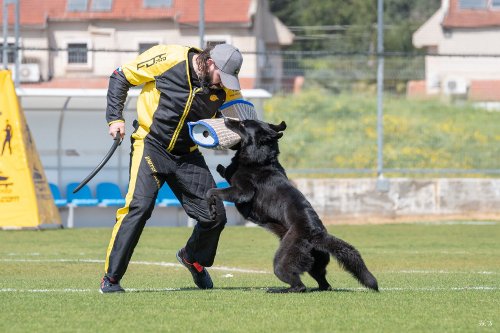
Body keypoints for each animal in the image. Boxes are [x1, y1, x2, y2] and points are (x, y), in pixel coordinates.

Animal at [207, 118, 378, 292]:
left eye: (243, 124)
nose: (225, 119)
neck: (261, 161)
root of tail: (317, 234)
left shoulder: (242, 192)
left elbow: (212, 191)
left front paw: (211, 203)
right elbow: (227, 172)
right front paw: (221, 168)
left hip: (283, 258)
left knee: (298, 285)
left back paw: (278, 290)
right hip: (314, 265)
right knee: (324, 284)